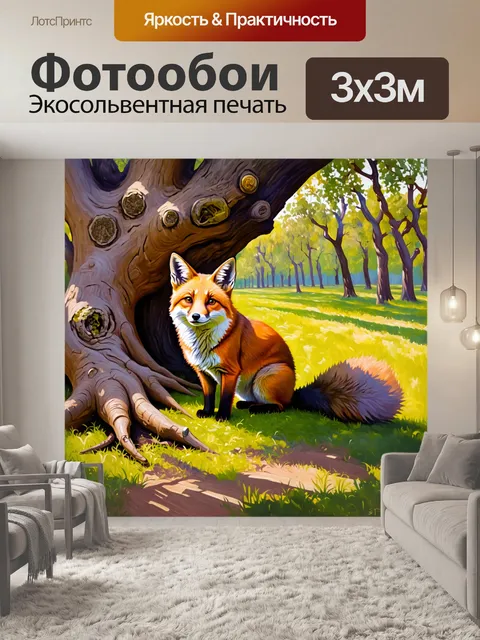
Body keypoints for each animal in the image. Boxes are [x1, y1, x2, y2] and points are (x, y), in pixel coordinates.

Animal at [169, 253, 403, 424]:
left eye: (211, 301)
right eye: (188, 299)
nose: (196, 316)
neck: (202, 344)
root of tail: (293, 392)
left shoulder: (231, 371)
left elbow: (225, 398)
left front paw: (222, 417)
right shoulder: (203, 372)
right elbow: (209, 396)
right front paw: (208, 412)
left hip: (265, 376)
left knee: (282, 406)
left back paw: (259, 409)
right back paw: (248, 405)